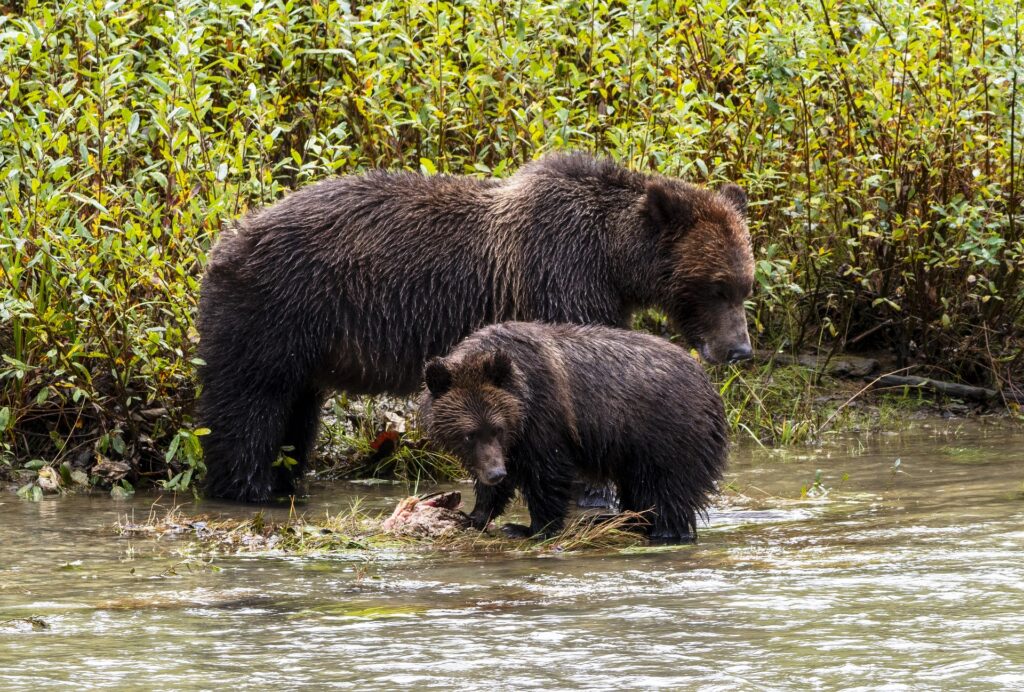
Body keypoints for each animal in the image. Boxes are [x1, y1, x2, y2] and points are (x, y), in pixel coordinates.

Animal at [197, 151, 753, 499]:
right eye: (717, 287)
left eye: (746, 285)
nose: (739, 350)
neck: (612, 259)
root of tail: (225, 239)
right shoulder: (559, 278)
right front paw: (594, 489)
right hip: (273, 310)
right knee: (248, 405)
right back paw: (248, 489)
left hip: (304, 341)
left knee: (296, 412)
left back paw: (284, 483)